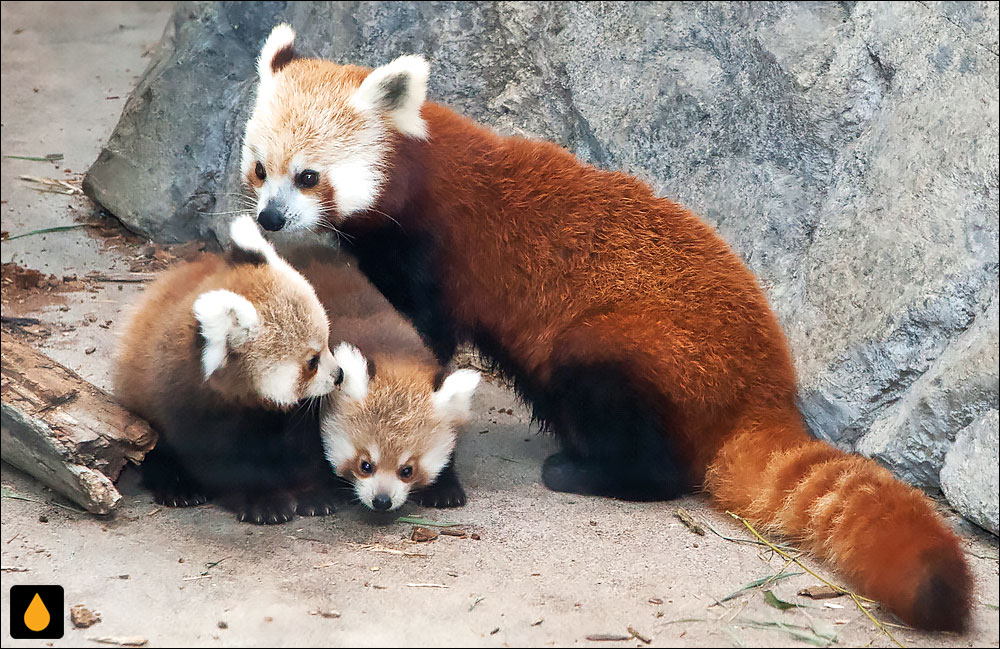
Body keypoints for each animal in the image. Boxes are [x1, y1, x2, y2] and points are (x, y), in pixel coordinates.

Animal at [114, 215, 344, 524]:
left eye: (329, 341)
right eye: (312, 362)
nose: (339, 375)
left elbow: (304, 446)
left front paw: (313, 493)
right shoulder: (190, 410)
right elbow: (227, 465)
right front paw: (263, 503)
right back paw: (178, 487)